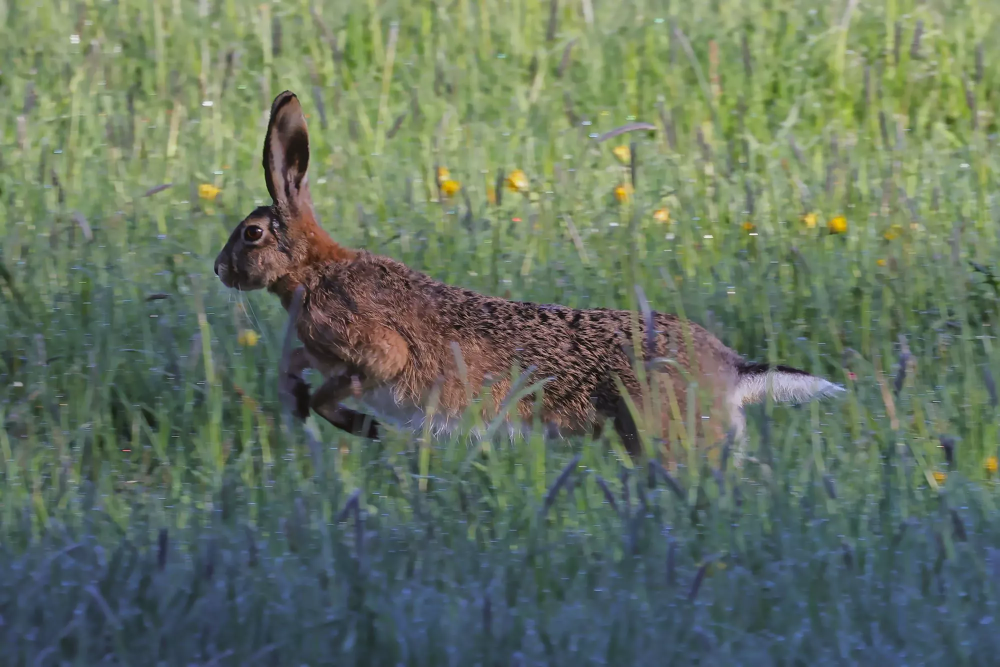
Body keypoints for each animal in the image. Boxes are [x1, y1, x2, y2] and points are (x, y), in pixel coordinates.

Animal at [214, 90, 844, 461]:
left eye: (252, 234)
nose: (219, 269)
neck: (315, 269)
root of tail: (729, 371)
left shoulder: (372, 352)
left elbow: (340, 387)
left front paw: (364, 428)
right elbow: (299, 369)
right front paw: (299, 403)